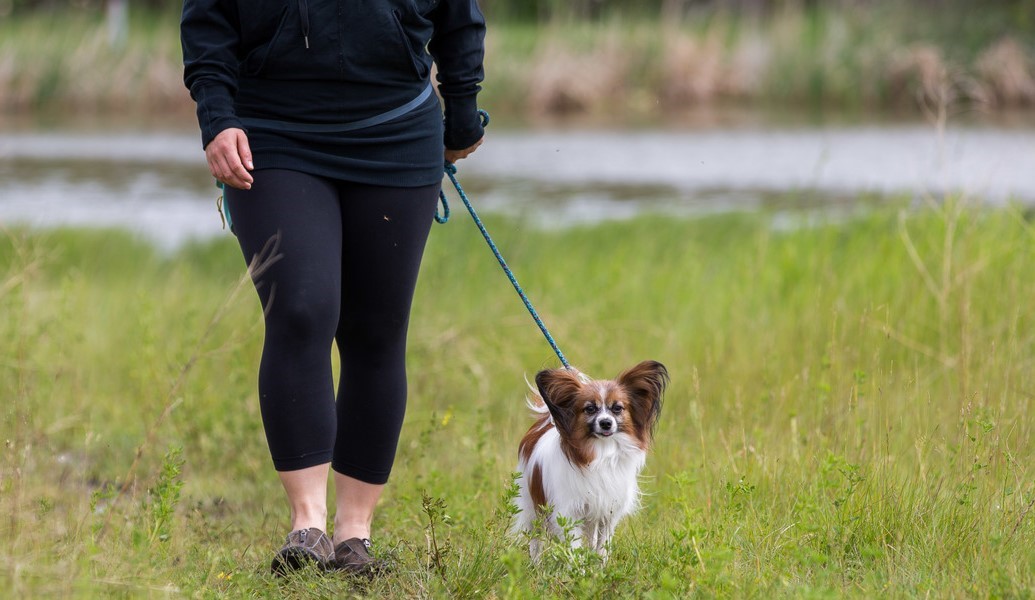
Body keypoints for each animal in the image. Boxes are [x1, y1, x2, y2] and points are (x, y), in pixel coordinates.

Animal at [511, 357, 670, 558]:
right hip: (533, 507)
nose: (606, 423)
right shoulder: (569, 513)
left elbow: (602, 548)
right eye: (590, 409)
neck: (602, 453)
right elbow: (575, 550)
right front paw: (579, 567)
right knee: (535, 541)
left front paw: (599, 566)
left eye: (617, 408)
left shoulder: (607, 513)